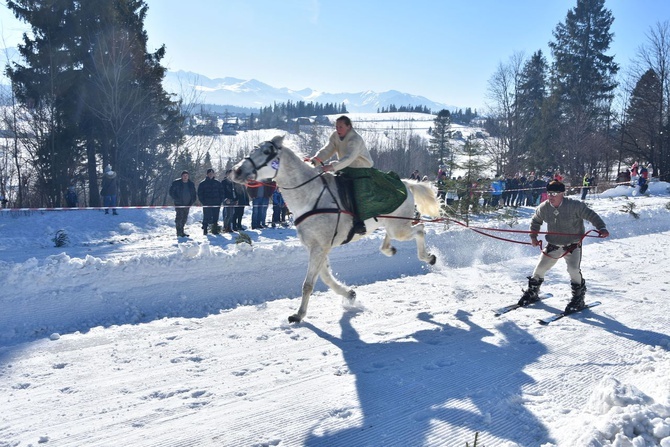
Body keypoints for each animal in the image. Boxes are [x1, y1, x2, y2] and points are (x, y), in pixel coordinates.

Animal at [231, 135, 440, 324]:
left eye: (267, 152)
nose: (236, 171)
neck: (310, 195)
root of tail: (406, 183)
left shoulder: (319, 247)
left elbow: (309, 284)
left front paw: (299, 315)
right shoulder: (317, 247)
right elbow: (325, 277)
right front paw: (349, 294)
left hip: (400, 227)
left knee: (420, 229)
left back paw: (428, 257)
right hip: (391, 224)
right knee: (397, 235)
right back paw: (389, 249)